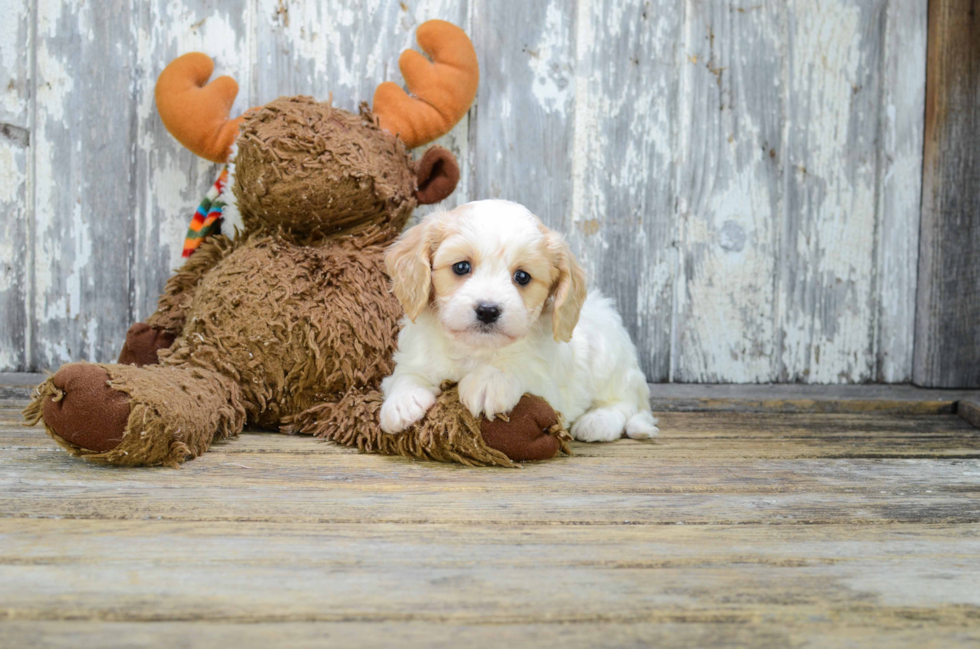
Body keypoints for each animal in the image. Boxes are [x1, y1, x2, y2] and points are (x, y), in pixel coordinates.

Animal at [378, 199, 660, 440]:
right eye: (461, 267)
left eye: (522, 277)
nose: (488, 310)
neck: (475, 350)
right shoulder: (413, 356)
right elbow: (405, 375)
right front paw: (402, 401)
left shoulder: (551, 388)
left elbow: (522, 366)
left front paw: (489, 381)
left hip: (610, 360)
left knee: (626, 402)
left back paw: (598, 421)